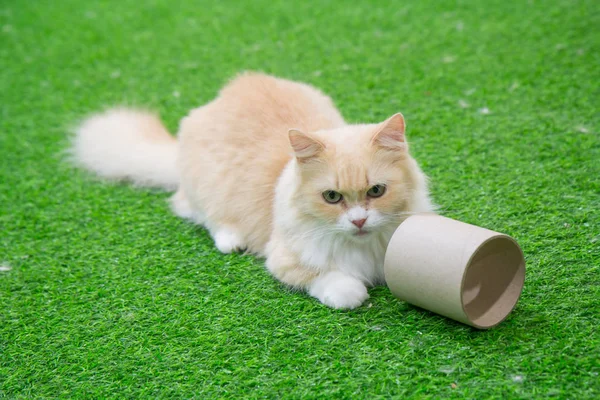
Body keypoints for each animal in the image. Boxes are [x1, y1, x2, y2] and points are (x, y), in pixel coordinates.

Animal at [72, 72, 434, 310]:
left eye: (376, 191)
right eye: (332, 197)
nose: (359, 221)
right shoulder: (285, 257)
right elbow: (338, 285)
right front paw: (353, 292)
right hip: (204, 190)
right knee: (199, 215)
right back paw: (232, 241)